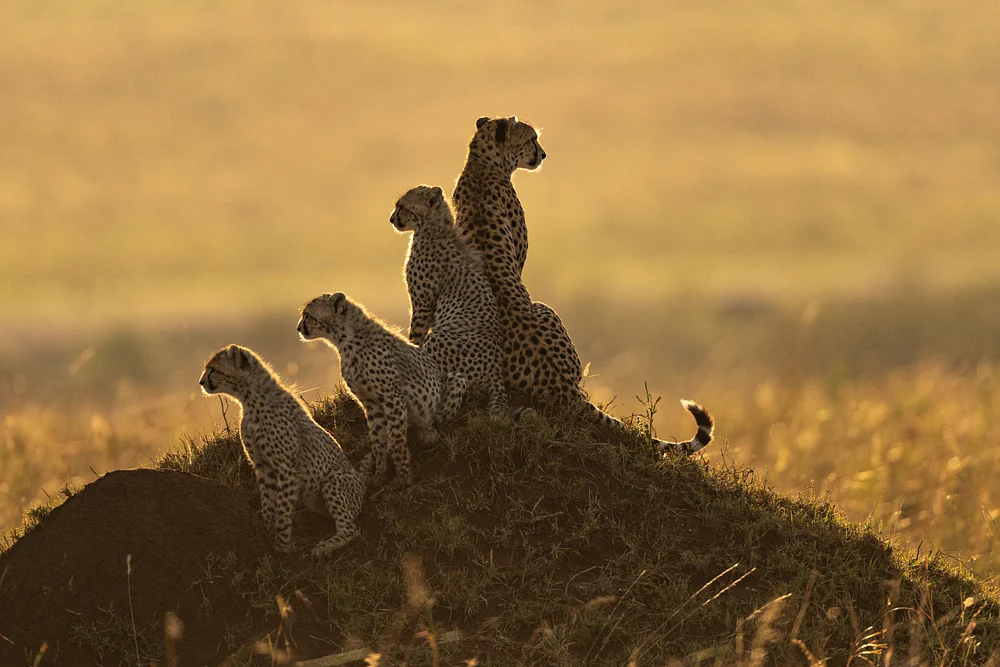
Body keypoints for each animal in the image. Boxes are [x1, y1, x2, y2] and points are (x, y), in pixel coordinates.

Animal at [199, 344, 365, 558]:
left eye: (213, 370)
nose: (201, 382)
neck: (250, 399)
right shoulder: (263, 467)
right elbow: (269, 503)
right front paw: (268, 533)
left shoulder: (287, 469)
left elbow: (283, 509)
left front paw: (282, 546)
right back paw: (303, 518)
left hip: (334, 478)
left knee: (350, 529)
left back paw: (325, 547)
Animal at [297, 291, 467, 484]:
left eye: (308, 315)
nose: (298, 328)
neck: (345, 339)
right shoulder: (371, 404)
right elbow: (378, 441)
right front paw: (380, 475)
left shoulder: (392, 398)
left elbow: (395, 441)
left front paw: (404, 479)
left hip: (457, 379)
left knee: (436, 420)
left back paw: (428, 432)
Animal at [391, 184, 508, 416]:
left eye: (402, 207)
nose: (391, 219)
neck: (433, 228)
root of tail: (497, 371)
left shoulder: (423, 304)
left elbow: (415, 336)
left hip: (439, 338)